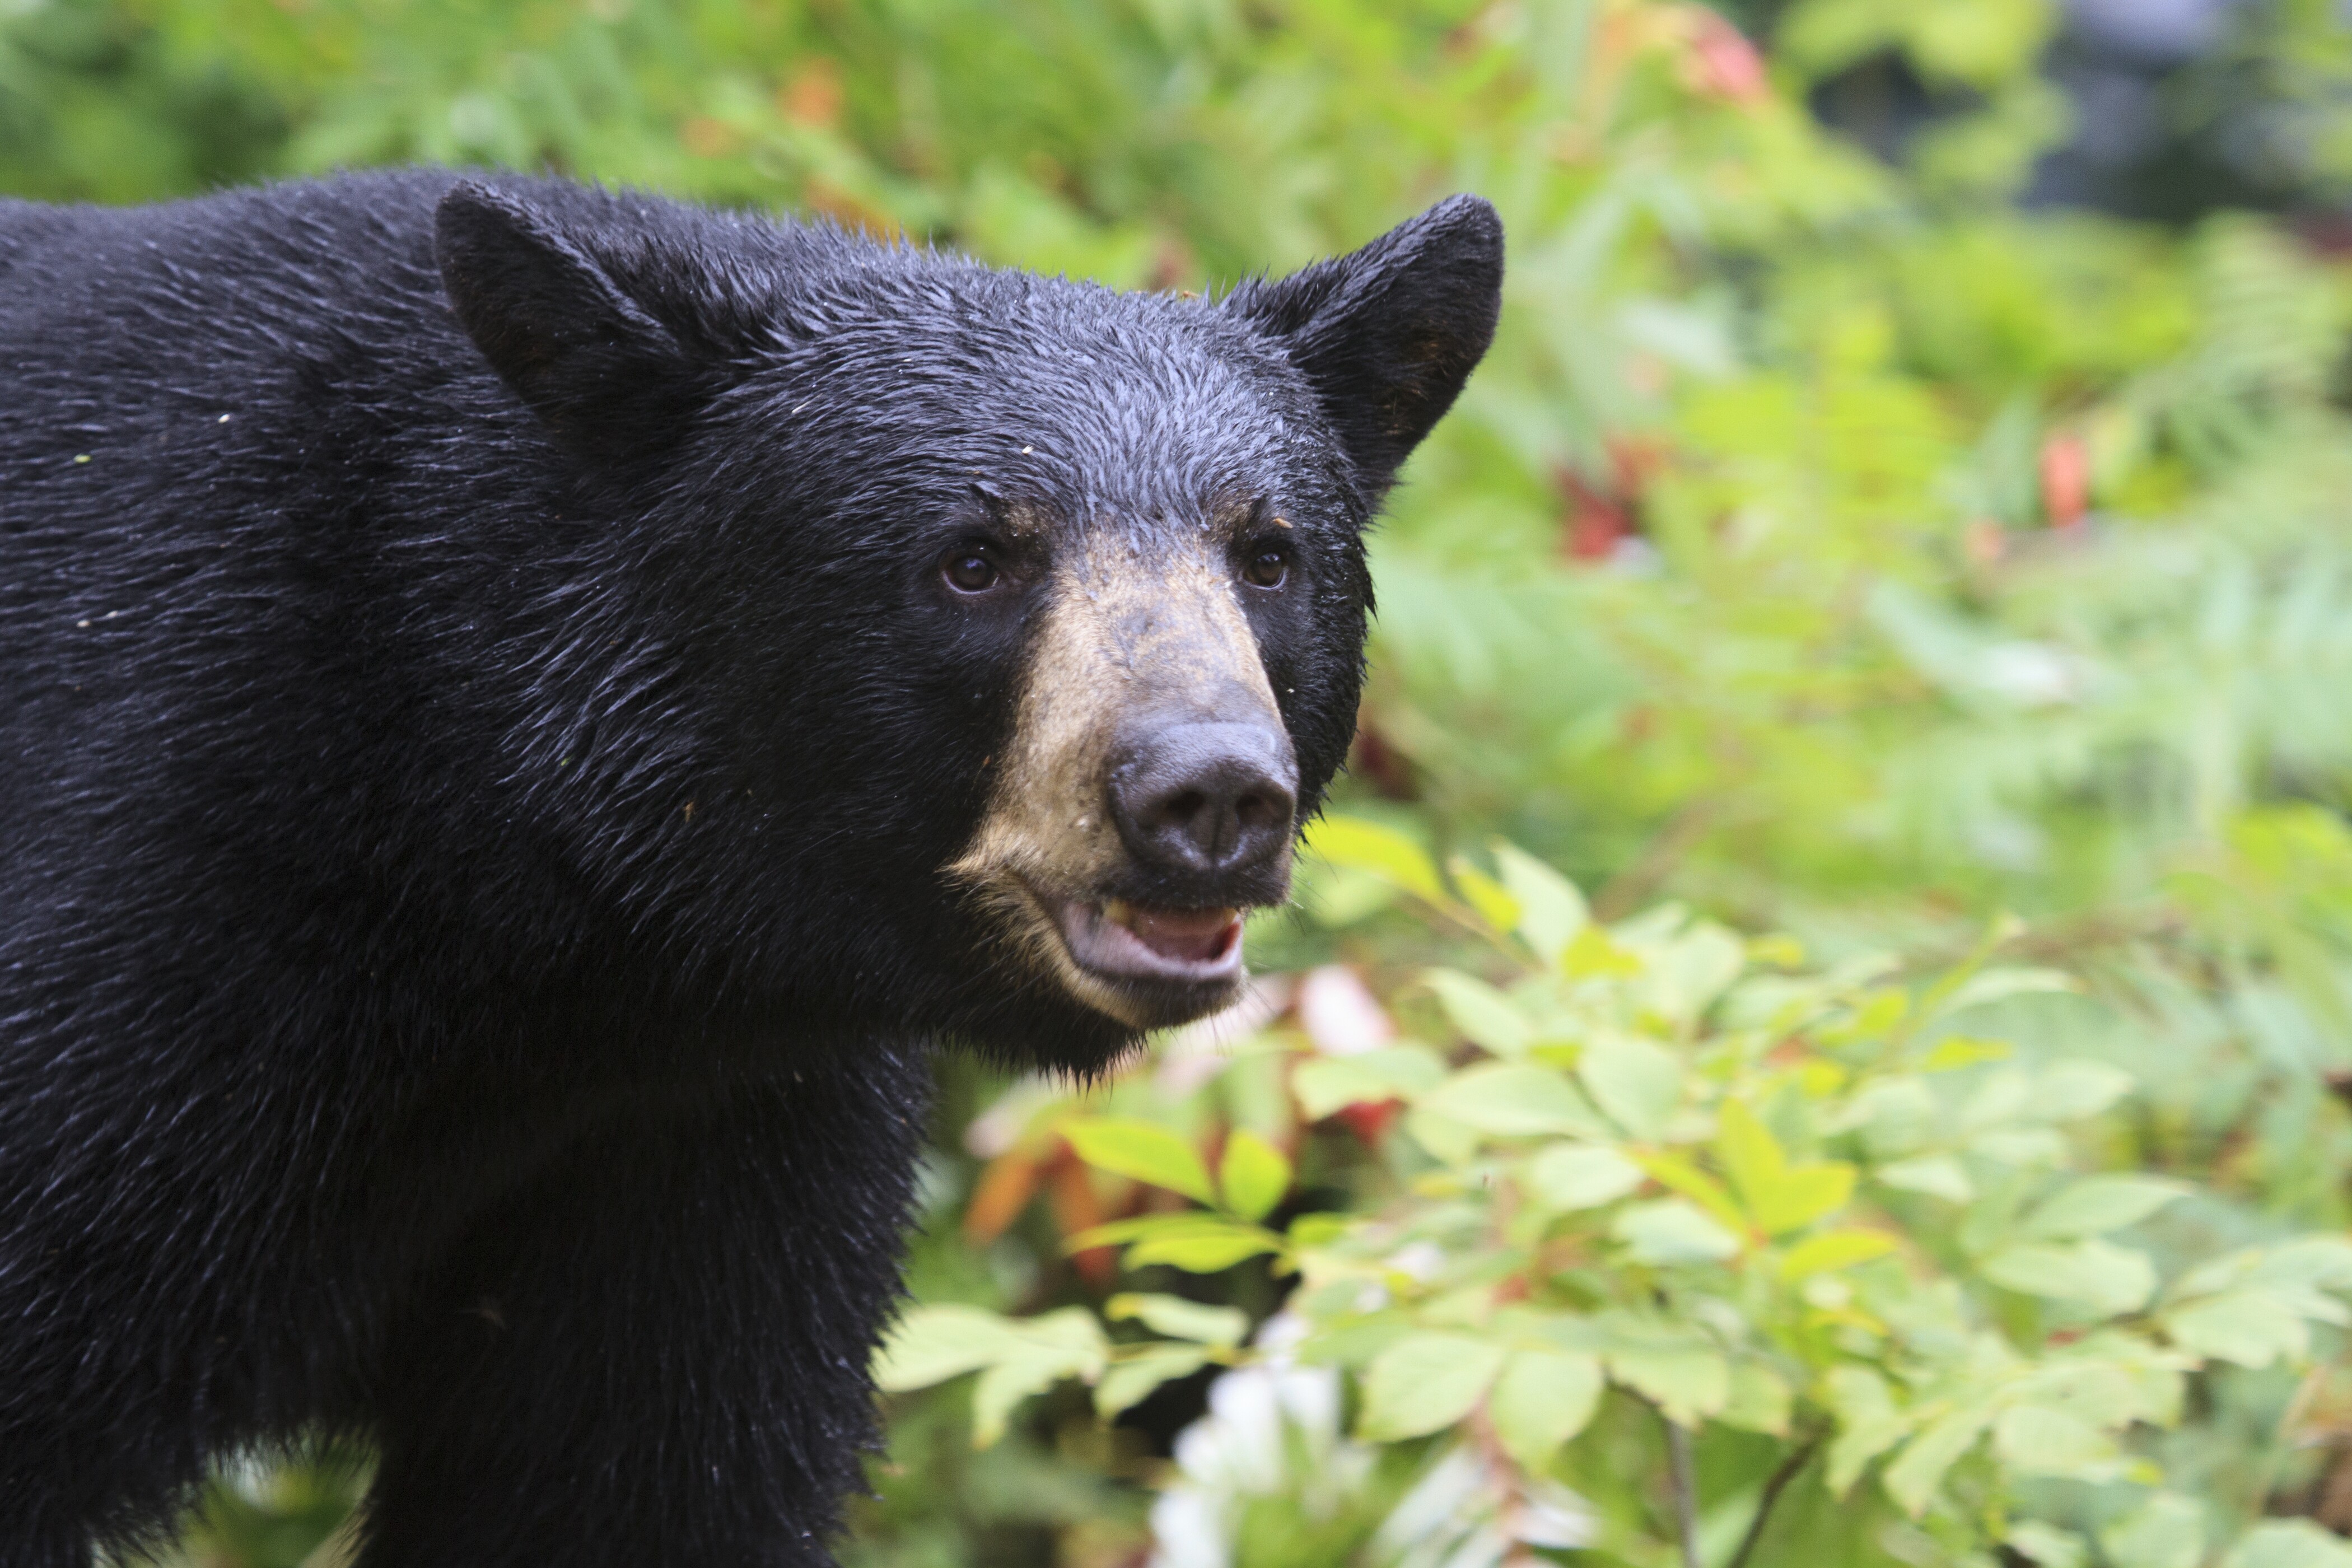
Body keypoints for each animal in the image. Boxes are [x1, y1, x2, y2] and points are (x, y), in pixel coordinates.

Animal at [0, 171, 1505, 1568]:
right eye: (974, 559)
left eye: (1267, 555)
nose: (1206, 792)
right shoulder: (169, 911)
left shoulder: (724, 1136)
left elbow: (643, 1478)